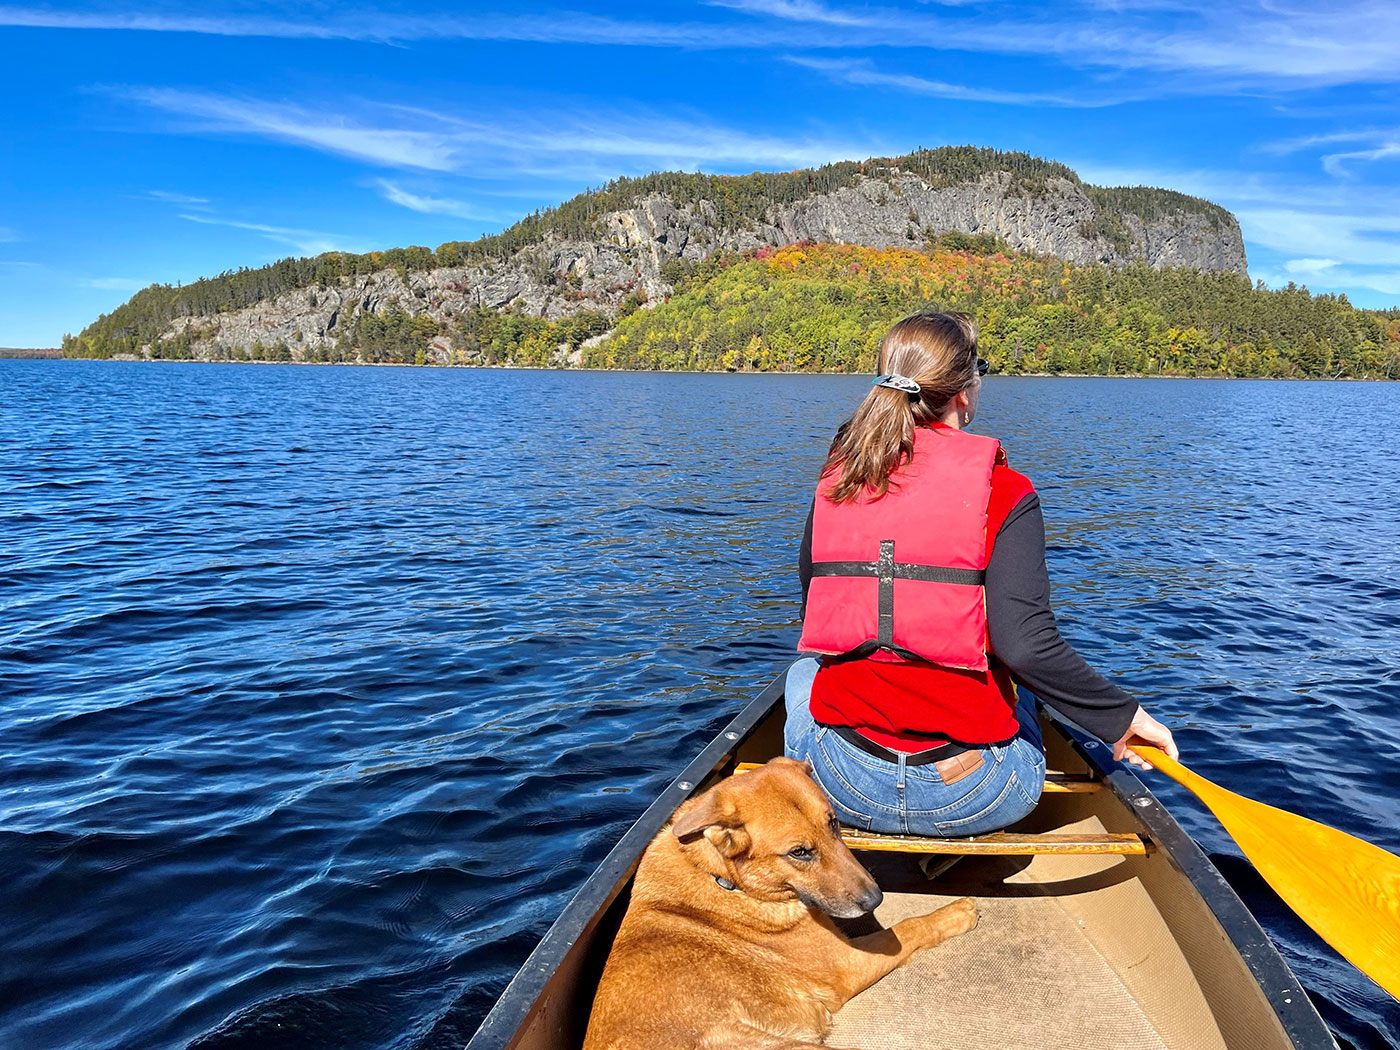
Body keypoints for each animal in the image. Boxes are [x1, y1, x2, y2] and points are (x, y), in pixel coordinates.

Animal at [579, 761, 974, 1047]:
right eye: (799, 853)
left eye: (833, 824)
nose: (875, 899)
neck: (726, 881)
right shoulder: (848, 965)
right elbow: (909, 927)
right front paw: (956, 913)